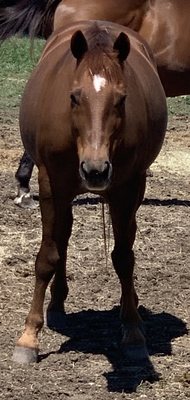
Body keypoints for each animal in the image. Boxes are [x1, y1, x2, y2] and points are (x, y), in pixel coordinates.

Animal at [11, 19, 167, 362]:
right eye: (73, 97)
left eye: (121, 99)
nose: (95, 170)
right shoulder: (50, 185)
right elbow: (47, 255)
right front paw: (28, 338)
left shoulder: (127, 188)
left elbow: (124, 257)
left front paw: (132, 332)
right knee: (63, 238)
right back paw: (57, 303)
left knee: (126, 238)